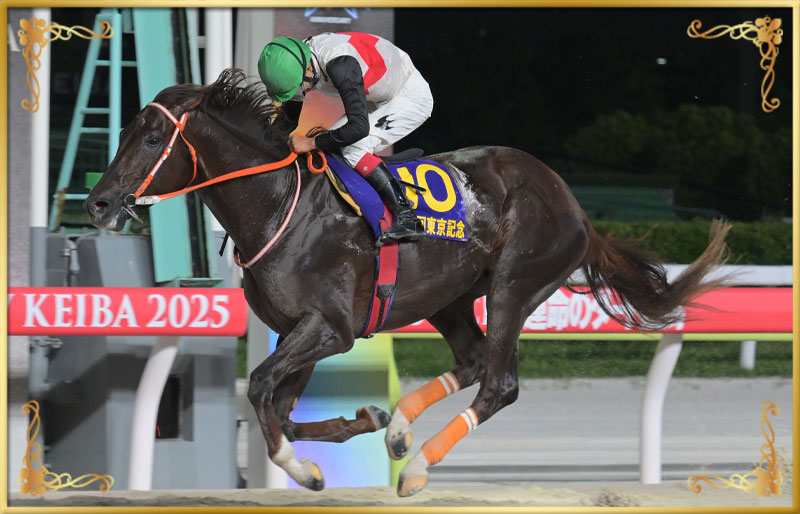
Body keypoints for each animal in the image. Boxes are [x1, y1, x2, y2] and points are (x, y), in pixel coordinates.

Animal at [86, 68, 729, 497]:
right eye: (123, 133)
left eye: (151, 139)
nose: (98, 203)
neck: (276, 206)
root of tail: (574, 204)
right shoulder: (300, 330)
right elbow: (281, 405)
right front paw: (362, 424)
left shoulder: (332, 328)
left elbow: (264, 386)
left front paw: (300, 468)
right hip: (449, 296)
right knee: (472, 361)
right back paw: (398, 429)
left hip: (515, 285)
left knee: (499, 384)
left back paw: (417, 467)